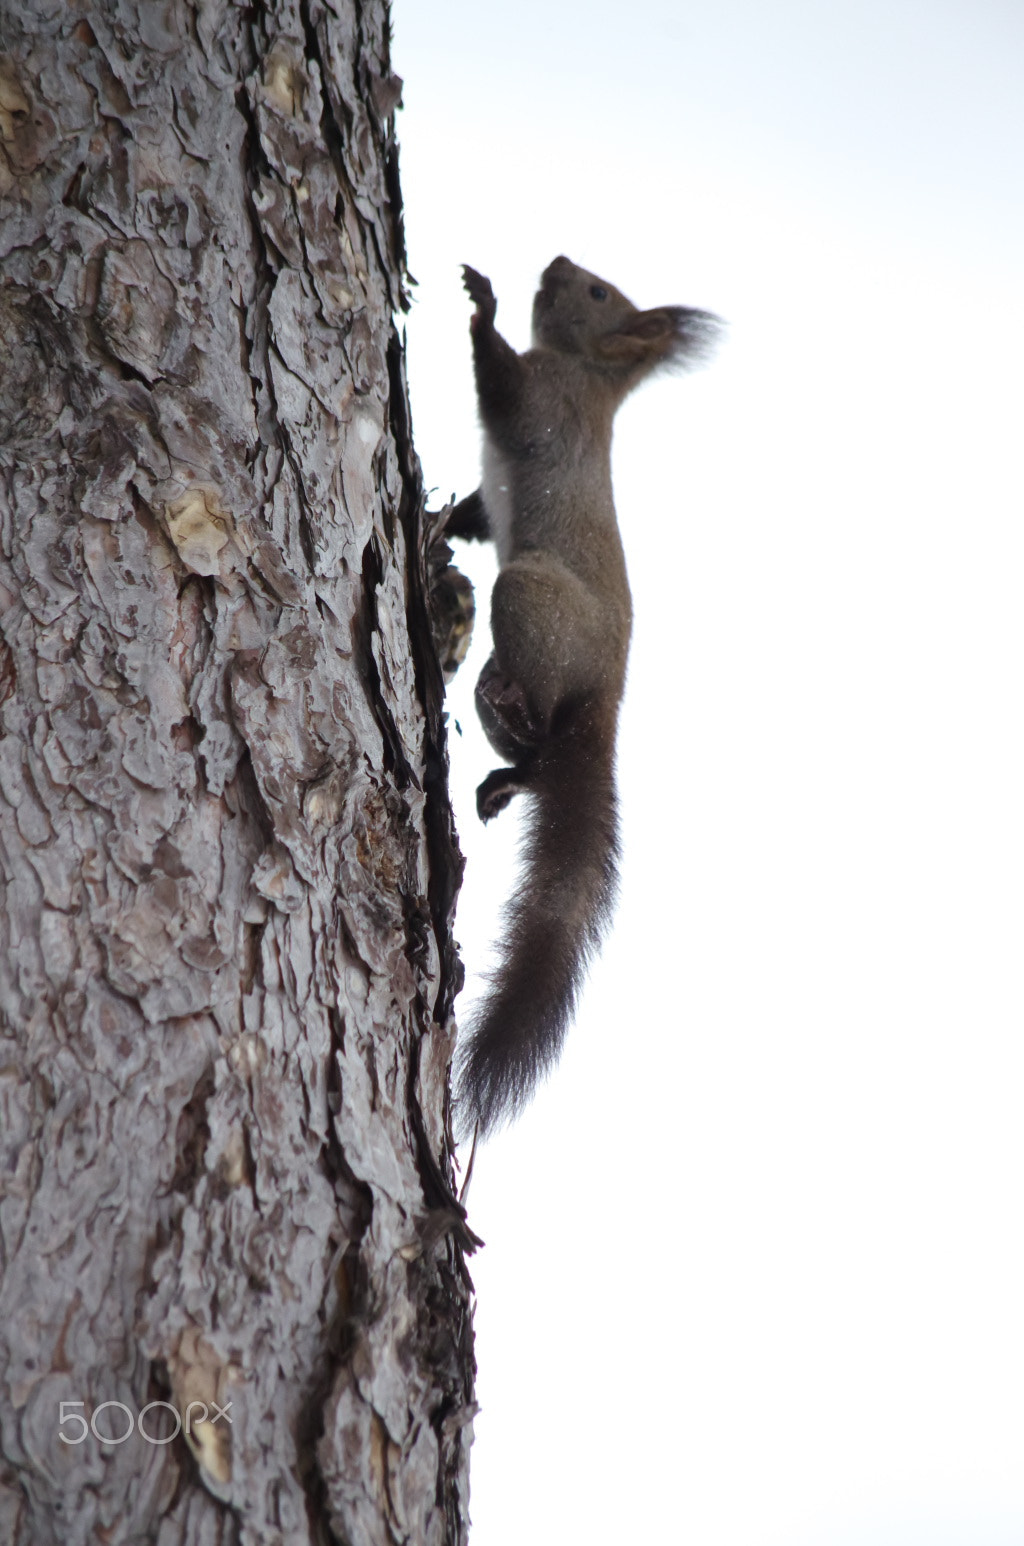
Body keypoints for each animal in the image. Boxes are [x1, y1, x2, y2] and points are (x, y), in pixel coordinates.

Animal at [448, 253, 720, 1137]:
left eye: (598, 291)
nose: (556, 263)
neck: (593, 377)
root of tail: (606, 701)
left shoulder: (542, 396)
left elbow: (499, 382)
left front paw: (482, 304)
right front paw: (452, 518)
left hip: (530, 599)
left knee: (537, 713)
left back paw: (513, 708)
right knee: (540, 759)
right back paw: (508, 776)